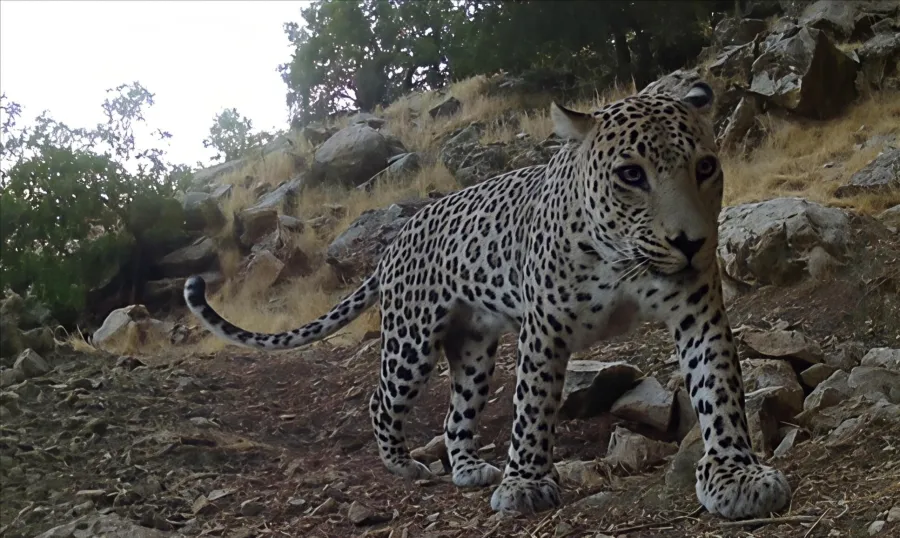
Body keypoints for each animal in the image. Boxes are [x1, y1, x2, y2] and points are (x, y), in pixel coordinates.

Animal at [183, 80, 792, 519]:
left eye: (706, 167)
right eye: (631, 175)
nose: (692, 242)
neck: (622, 257)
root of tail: (395, 239)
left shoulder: (698, 311)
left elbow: (718, 387)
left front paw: (737, 476)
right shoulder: (545, 329)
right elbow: (532, 408)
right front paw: (525, 483)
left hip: (474, 349)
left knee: (455, 417)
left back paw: (469, 469)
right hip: (411, 342)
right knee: (381, 401)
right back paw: (402, 466)